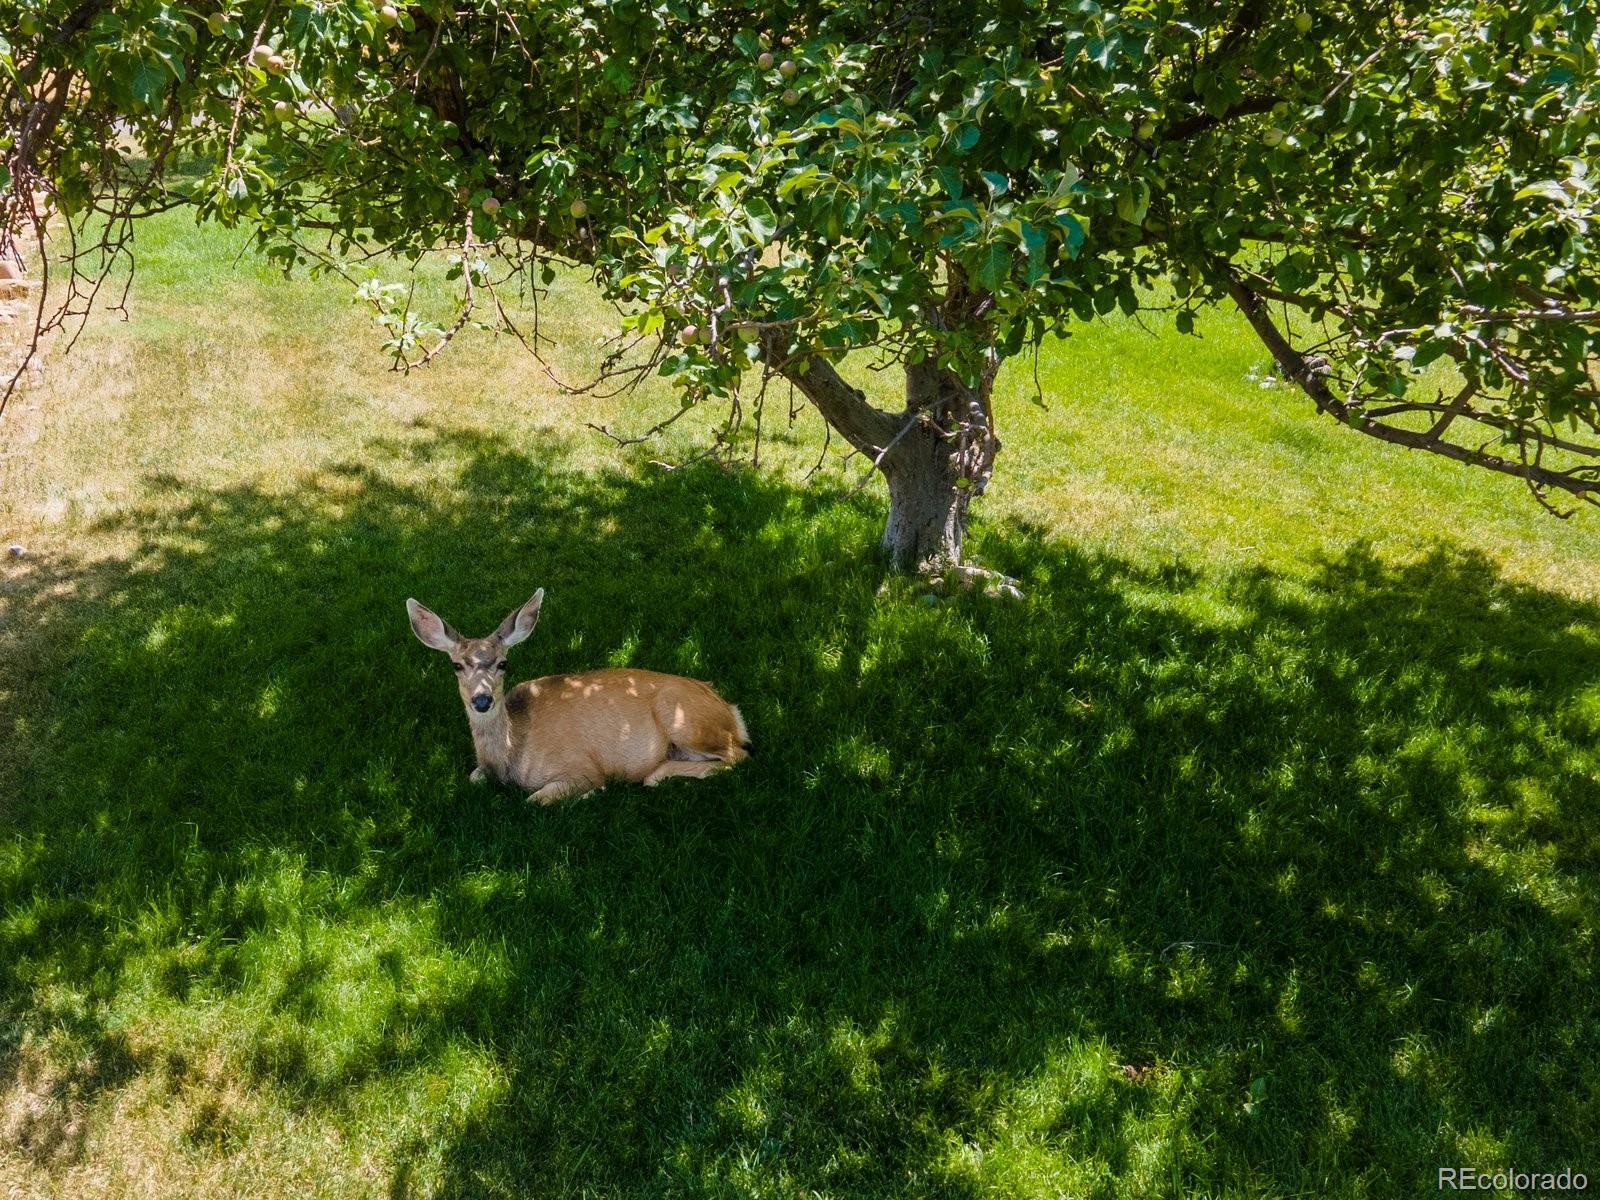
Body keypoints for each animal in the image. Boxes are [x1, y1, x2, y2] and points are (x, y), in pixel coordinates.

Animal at [403, 592, 745, 809]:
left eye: (503, 663)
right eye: (456, 665)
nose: (482, 700)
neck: (510, 758)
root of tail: (731, 712)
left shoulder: (579, 766)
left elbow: (536, 800)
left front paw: (593, 793)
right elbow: (473, 778)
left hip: (685, 719)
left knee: (737, 755)